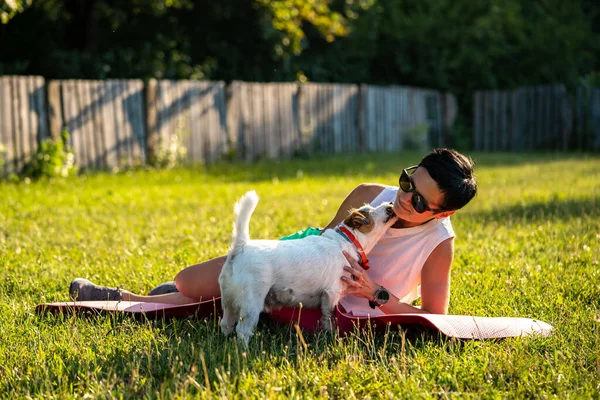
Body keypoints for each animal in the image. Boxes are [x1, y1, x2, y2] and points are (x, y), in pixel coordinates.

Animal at [218, 190, 396, 344]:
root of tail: (240, 247)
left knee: (225, 324)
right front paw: (330, 336)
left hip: (228, 300)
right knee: (243, 330)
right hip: (252, 303)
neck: (348, 241)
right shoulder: (331, 294)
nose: (391, 204)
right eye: (369, 214)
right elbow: (328, 317)